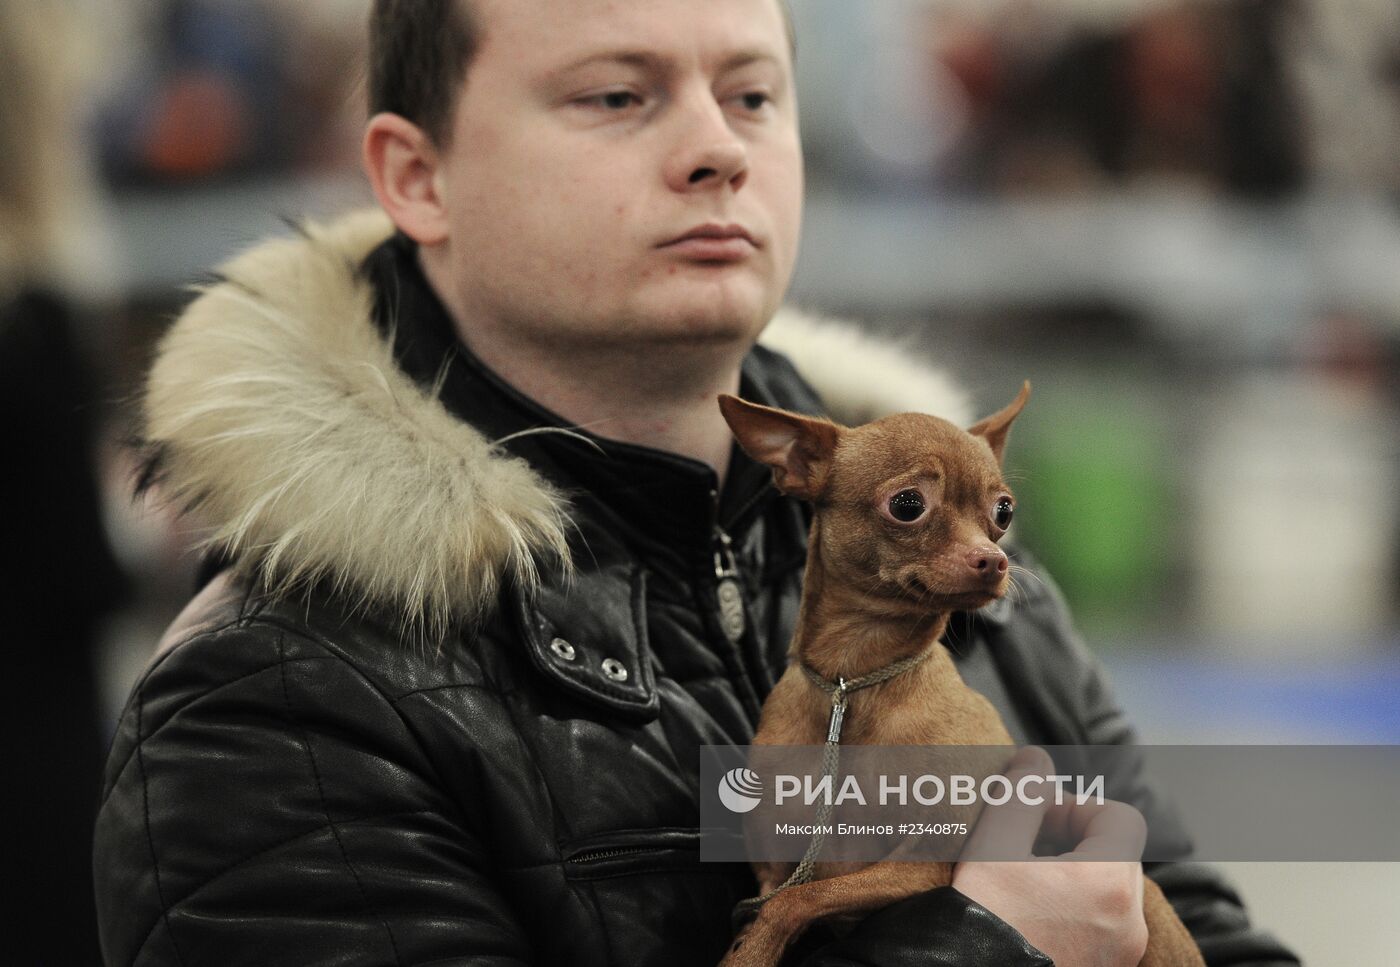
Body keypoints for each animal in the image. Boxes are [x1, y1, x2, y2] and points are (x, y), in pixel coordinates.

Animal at [716, 386, 1198, 967]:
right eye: (907, 505)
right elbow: (770, 906)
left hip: (1150, 901)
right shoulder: (772, 870)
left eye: (1004, 511)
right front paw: (748, 950)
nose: (994, 560)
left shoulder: (919, 867)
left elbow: (797, 901)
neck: (854, 682)